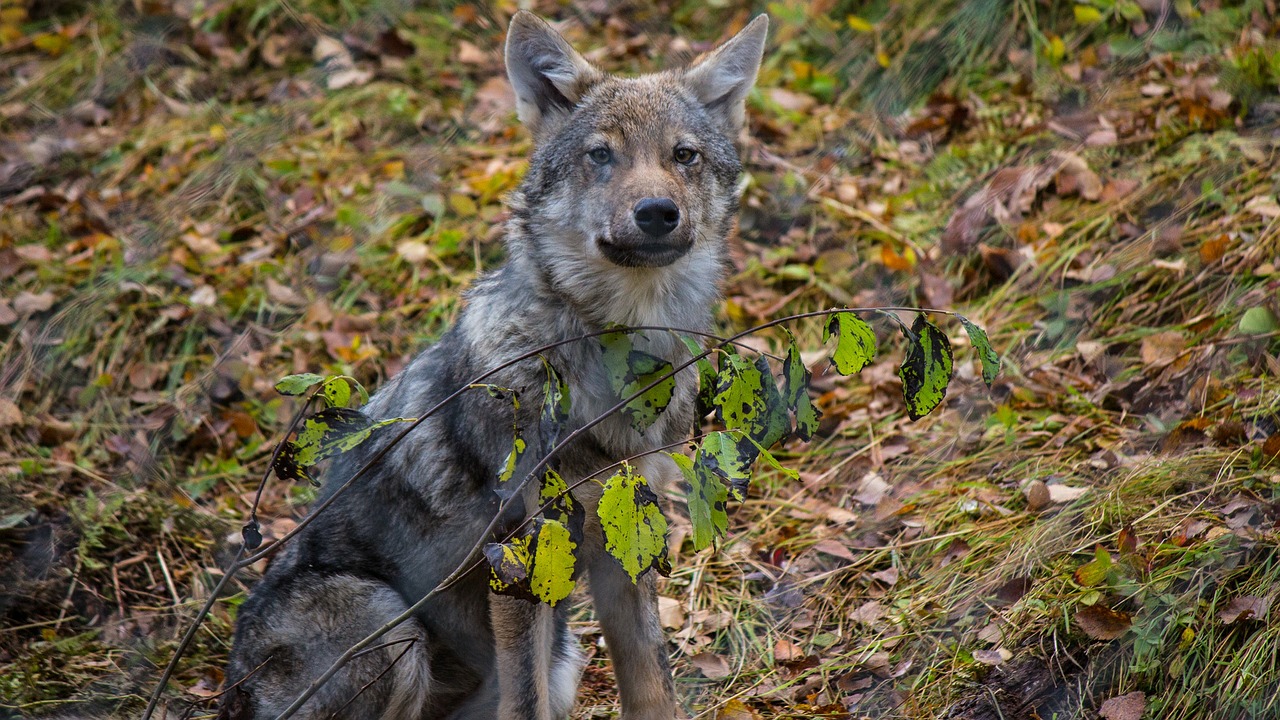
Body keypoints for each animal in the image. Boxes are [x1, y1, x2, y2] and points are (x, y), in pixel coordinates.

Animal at [217, 12, 768, 717]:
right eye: (601, 155)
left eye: (684, 155)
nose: (656, 213)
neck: (614, 355)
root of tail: (231, 686)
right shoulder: (521, 560)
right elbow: (526, 703)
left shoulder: (626, 538)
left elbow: (652, 685)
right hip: (389, 622)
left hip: (561, 655)